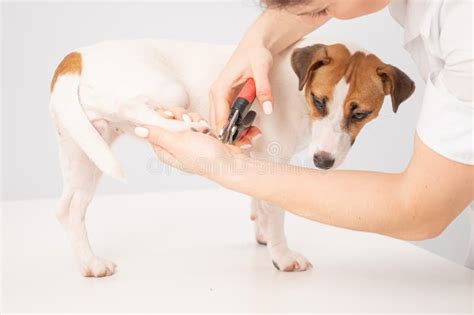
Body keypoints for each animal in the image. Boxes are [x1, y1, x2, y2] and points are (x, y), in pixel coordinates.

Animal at [49, 38, 414, 278]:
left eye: (361, 113)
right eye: (319, 101)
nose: (322, 162)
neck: (296, 89)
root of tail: (77, 56)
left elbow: (262, 201)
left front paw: (262, 232)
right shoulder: (276, 161)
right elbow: (277, 214)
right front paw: (282, 255)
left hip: (85, 147)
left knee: (70, 210)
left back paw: (90, 263)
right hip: (166, 90)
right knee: (133, 106)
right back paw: (186, 124)